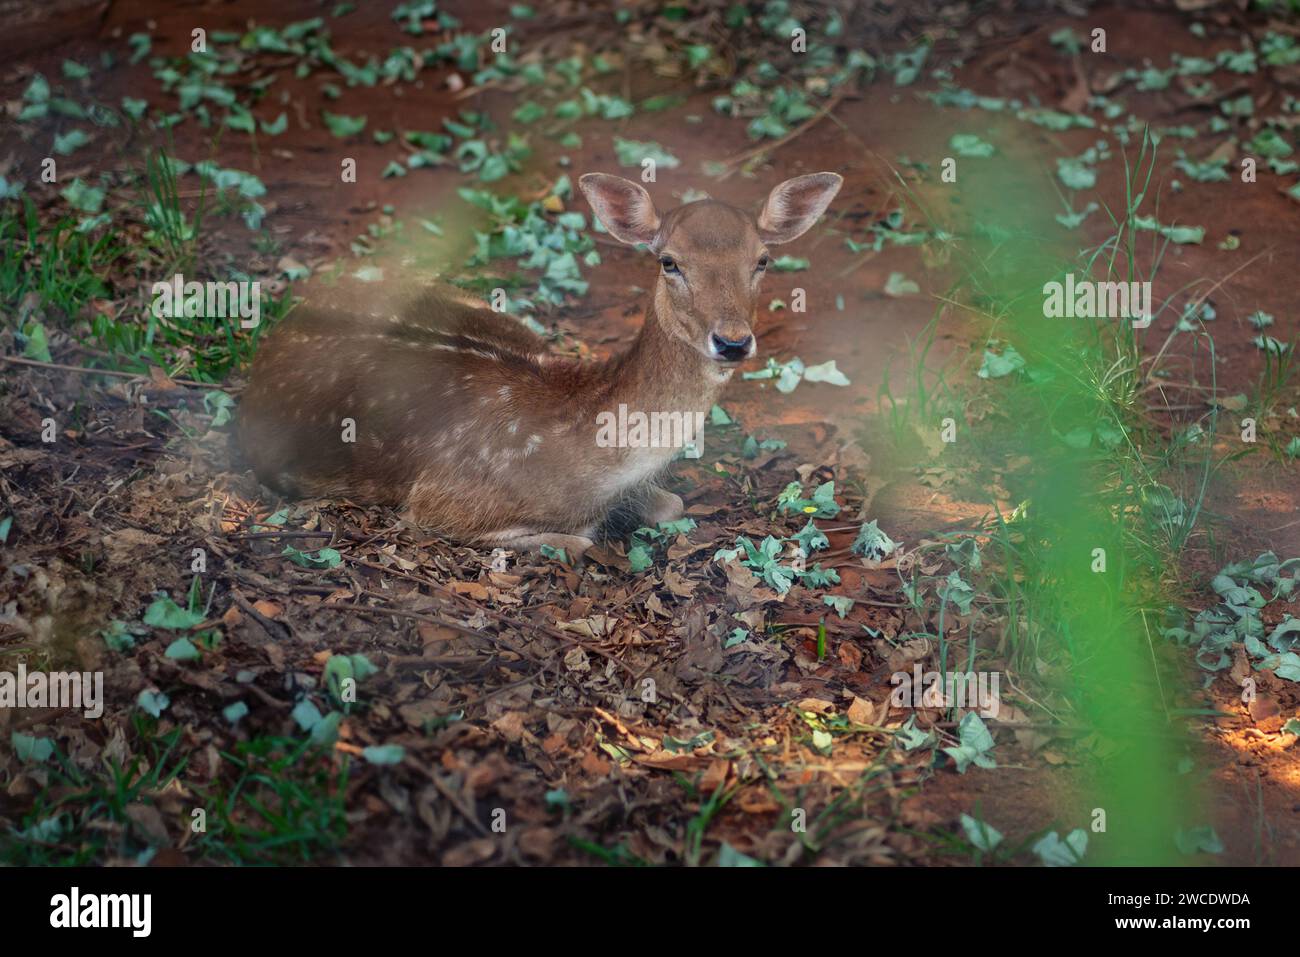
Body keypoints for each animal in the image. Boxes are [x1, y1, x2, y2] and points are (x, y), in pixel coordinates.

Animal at [236, 171, 842, 556]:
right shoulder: (440, 501)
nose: (733, 342)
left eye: (762, 260)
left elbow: (670, 504)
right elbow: (575, 539)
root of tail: (281, 326)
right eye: (670, 262)